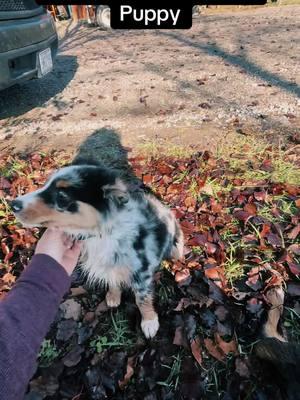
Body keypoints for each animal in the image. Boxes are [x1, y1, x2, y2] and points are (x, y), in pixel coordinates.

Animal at [10, 161, 184, 340]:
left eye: (62, 196)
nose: (13, 204)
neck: (101, 234)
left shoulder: (142, 271)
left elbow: (142, 299)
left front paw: (149, 322)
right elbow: (112, 279)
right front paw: (113, 296)